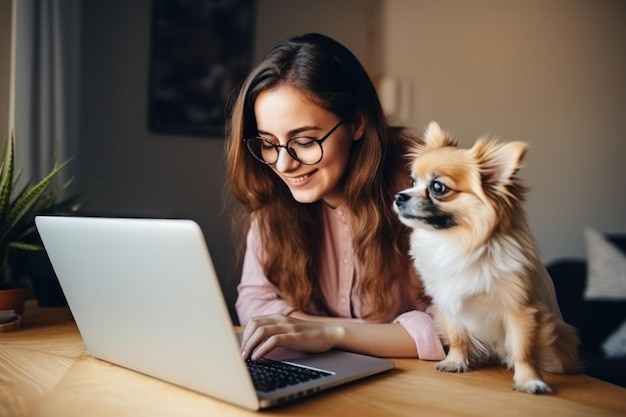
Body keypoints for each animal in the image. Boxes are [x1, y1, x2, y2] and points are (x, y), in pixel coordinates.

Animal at [392, 121, 576, 394]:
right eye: (412, 180)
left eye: (438, 187)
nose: (399, 196)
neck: (456, 242)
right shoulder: (449, 304)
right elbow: (458, 338)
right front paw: (455, 362)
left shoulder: (520, 309)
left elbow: (523, 350)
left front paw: (529, 381)